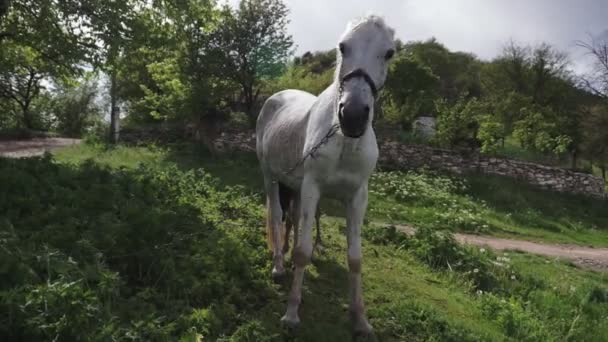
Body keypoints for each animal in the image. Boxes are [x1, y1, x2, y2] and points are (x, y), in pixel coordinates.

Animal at [255, 16, 394, 334]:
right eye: (342, 46)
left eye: (389, 53)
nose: (353, 115)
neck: (343, 139)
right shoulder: (312, 187)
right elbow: (303, 251)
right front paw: (291, 314)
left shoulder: (357, 197)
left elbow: (355, 259)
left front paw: (360, 320)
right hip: (270, 176)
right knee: (277, 215)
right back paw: (279, 265)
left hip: (293, 185)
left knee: (293, 218)